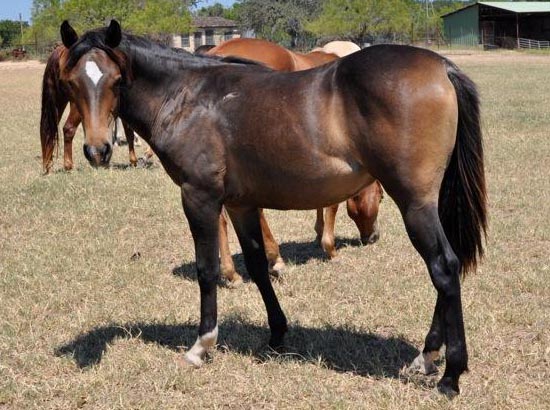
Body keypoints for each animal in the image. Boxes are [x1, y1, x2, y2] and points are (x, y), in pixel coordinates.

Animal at [40, 44, 139, 173]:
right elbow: (129, 132)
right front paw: (133, 160)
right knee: (68, 128)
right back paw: (68, 165)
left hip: (59, 102)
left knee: (49, 130)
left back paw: (48, 165)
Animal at [54, 20, 490, 396]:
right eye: (72, 82)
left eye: (115, 80)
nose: (97, 150)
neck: (189, 97)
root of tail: (442, 67)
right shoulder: (242, 205)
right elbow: (258, 266)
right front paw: (277, 333)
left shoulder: (199, 197)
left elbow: (207, 269)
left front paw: (202, 345)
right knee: (448, 267)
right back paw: (426, 356)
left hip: (414, 203)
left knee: (444, 268)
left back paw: (450, 374)